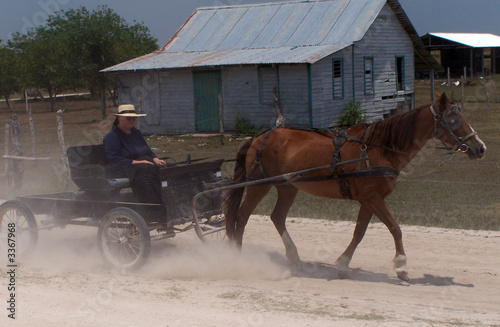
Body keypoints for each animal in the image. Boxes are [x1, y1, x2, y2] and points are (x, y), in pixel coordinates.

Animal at [224, 93, 488, 282]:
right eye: (453, 120)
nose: (481, 147)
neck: (379, 148)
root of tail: (258, 138)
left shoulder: (369, 200)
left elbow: (359, 232)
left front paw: (342, 264)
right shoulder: (372, 198)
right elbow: (395, 229)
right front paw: (402, 266)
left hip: (288, 186)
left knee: (277, 217)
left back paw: (294, 258)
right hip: (259, 185)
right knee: (242, 217)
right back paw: (238, 259)